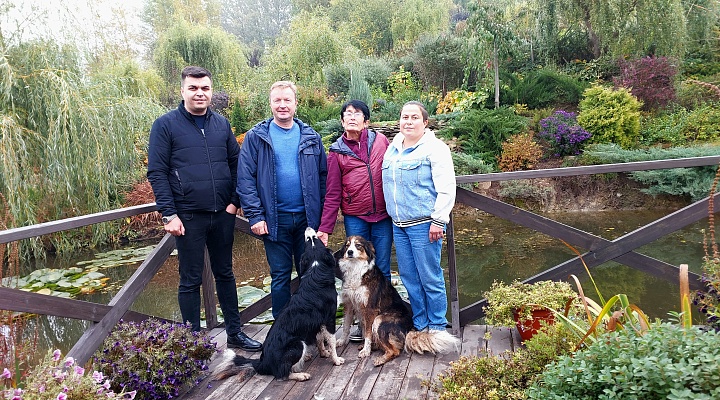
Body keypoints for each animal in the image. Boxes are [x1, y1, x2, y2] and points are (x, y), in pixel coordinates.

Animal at [212, 228, 344, 382]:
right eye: (311, 239)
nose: (308, 228)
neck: (316, 270)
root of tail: (262, 362)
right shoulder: (329, 318)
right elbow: (331, 340)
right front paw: (336, 359)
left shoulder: (318, 321)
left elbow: (319, 338)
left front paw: (324, 353)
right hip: (297, 344)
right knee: (281, 373)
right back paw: (301, 374)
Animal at [334, 236, 458, 368]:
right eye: (347, 245)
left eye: (358, 245)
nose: (349, 252)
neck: (355, 268)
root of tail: (409, 330)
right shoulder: (349, 304)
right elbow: (346, 326)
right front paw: (341, 341)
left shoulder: (370, 309)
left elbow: (367, 334)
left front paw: (366, 351)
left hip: (379, 320)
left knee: (394, 351)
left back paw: (379, 359)